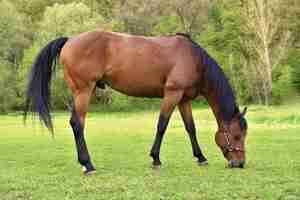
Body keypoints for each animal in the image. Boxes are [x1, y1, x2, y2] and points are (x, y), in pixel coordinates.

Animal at [24, 30, 248, 175]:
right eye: (237, 136)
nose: (240, 163)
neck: (193, 58)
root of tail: (70, 40)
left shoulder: (183, 99)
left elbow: (190, 128)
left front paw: (200, 157)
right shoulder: (172, 94)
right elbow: (162, 125)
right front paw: (155, 159)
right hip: (83, 91)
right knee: (77, 124)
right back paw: (88, 165)